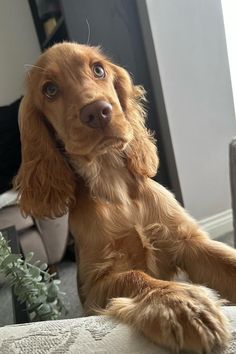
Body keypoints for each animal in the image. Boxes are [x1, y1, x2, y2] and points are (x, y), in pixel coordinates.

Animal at [15, 42, 236, 352]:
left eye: (98, 70)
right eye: (50, 90)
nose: (97, 112)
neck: (114, 184)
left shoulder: (188, 243)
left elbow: (227, 260)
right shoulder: (95, 287)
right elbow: (133, 276)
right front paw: (179, 303)